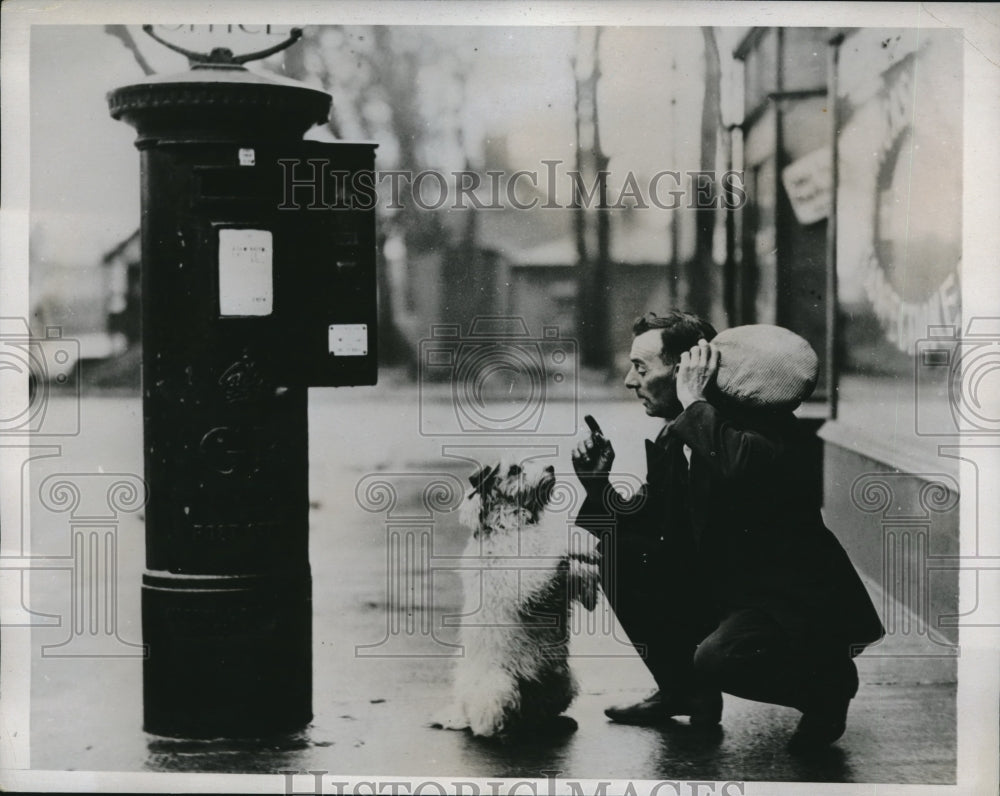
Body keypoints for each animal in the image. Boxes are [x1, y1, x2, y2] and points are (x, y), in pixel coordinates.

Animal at [432, 458, 600, 744]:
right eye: (513, 470)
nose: (551, 468)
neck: (516, 526)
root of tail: (461, 711)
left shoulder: (559, 584)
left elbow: (577, 572)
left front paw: (591, 583)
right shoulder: (527, 584)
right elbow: (557, 552)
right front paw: (583, 547)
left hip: (562, 681)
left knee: (538, 714)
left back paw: (556, 723)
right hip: (499, 688)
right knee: (486, 723)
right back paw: (503, 733)